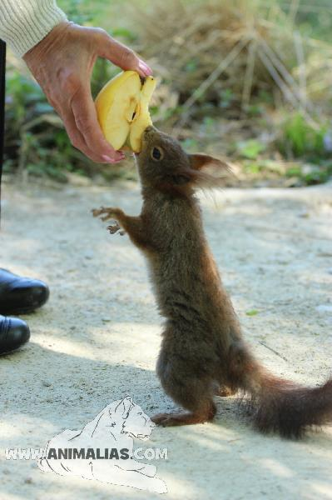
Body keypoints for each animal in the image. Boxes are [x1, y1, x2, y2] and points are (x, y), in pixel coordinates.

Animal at [91, 127, 332, 440]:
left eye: (157, 153)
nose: (148, 129)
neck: (173, 195)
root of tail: (230, 353)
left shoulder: (162, 226)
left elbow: (142, 235)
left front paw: (116, 215)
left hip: (178, 359)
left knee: (207, 411)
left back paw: (179, 416)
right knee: (223, 387)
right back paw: (221, 389)